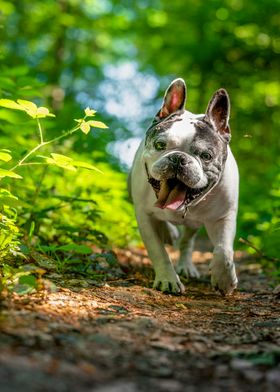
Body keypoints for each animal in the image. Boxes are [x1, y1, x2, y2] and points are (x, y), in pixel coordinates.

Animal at [129, 79, 238, 294]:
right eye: (160, 145)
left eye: (206, 156)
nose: (178, 158)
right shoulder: (144, 216)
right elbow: (158, 251)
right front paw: (168, 279)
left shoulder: (225, 216)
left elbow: (224, 251)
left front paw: (224, 279)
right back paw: (169, 232)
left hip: (194, 225)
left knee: (187, 241)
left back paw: (186, 265)